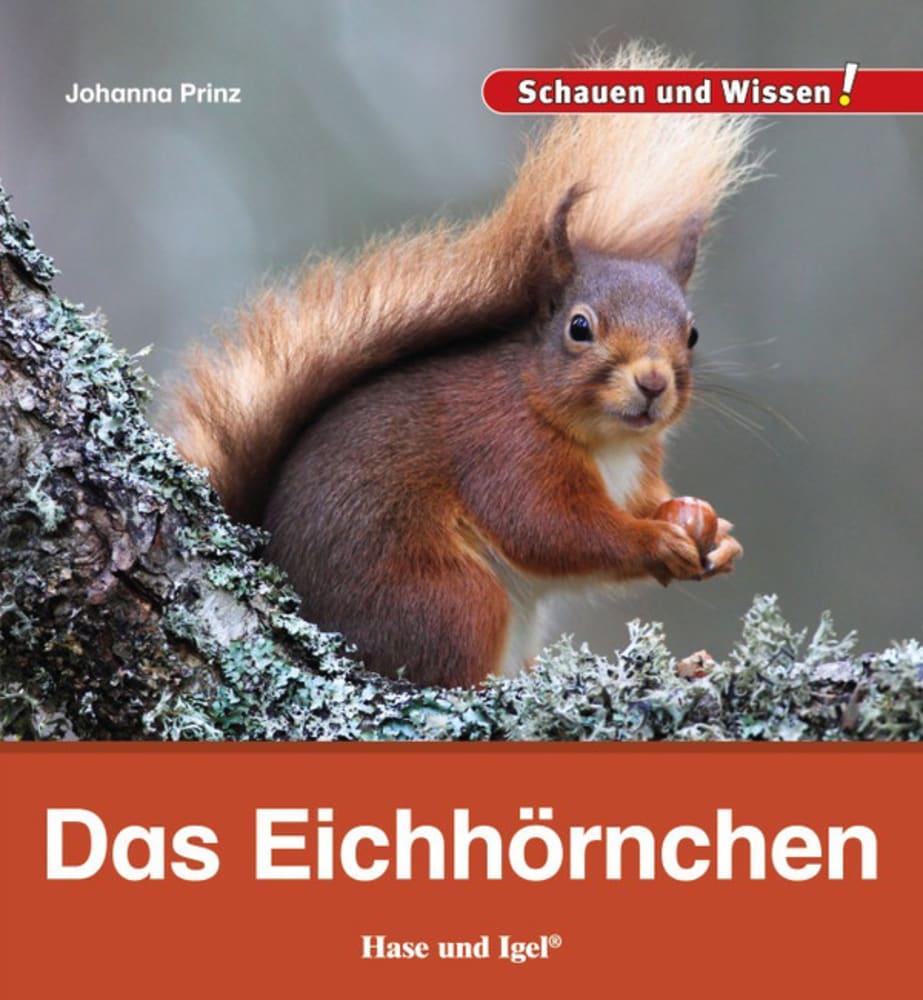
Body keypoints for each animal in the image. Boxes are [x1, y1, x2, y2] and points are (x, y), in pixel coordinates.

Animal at [168, 46, 754, 688]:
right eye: (579, 328)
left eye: (692, 333)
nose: (652, 382)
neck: (607, 443)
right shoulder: (504, 452)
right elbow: (552, 529)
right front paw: (653, 540)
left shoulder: (637, 468)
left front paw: (706, 525)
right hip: (450, 598)